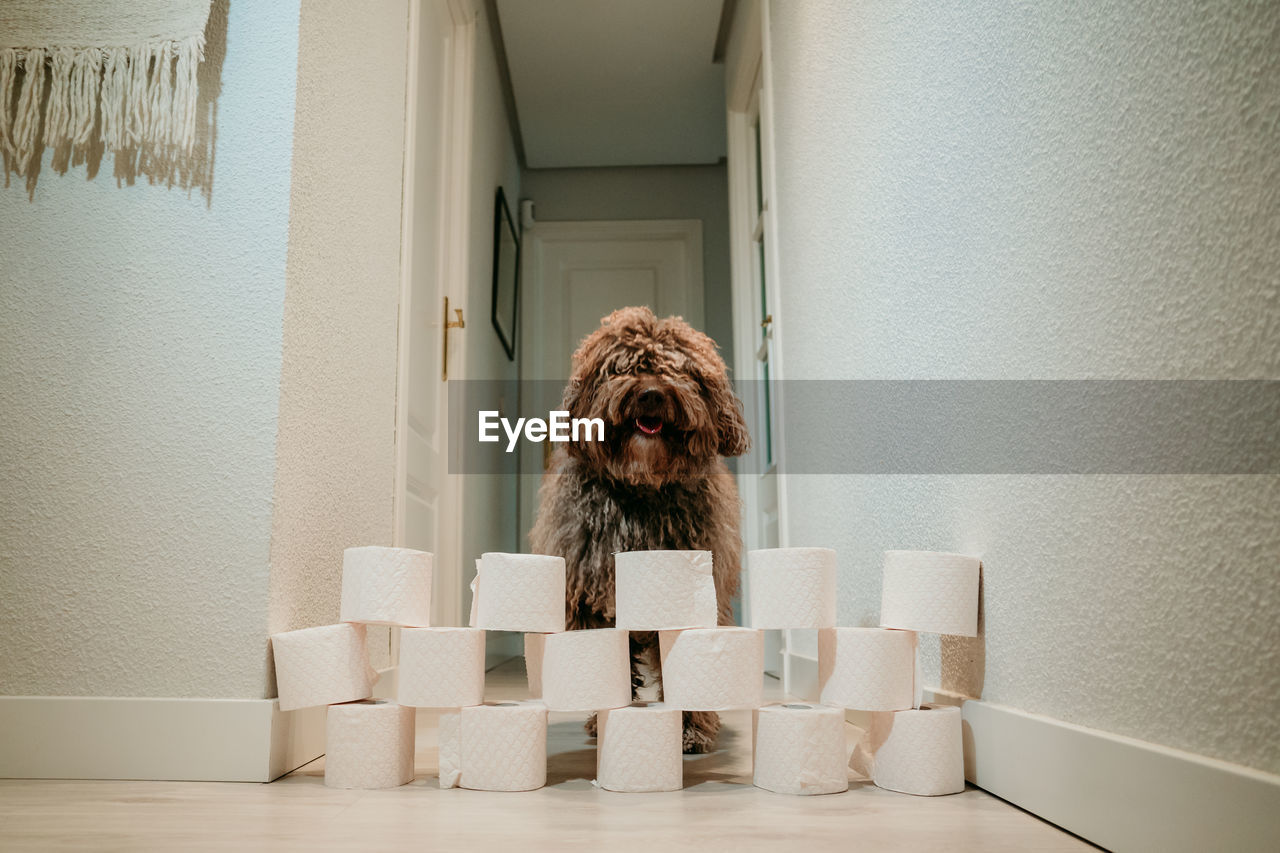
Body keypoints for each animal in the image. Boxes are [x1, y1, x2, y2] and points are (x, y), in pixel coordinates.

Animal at [529, 303, 747, 753]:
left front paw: (690, 727)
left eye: (680, 369)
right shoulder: (592, 598)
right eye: (622, 368)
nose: (650, 394)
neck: (643, 488)